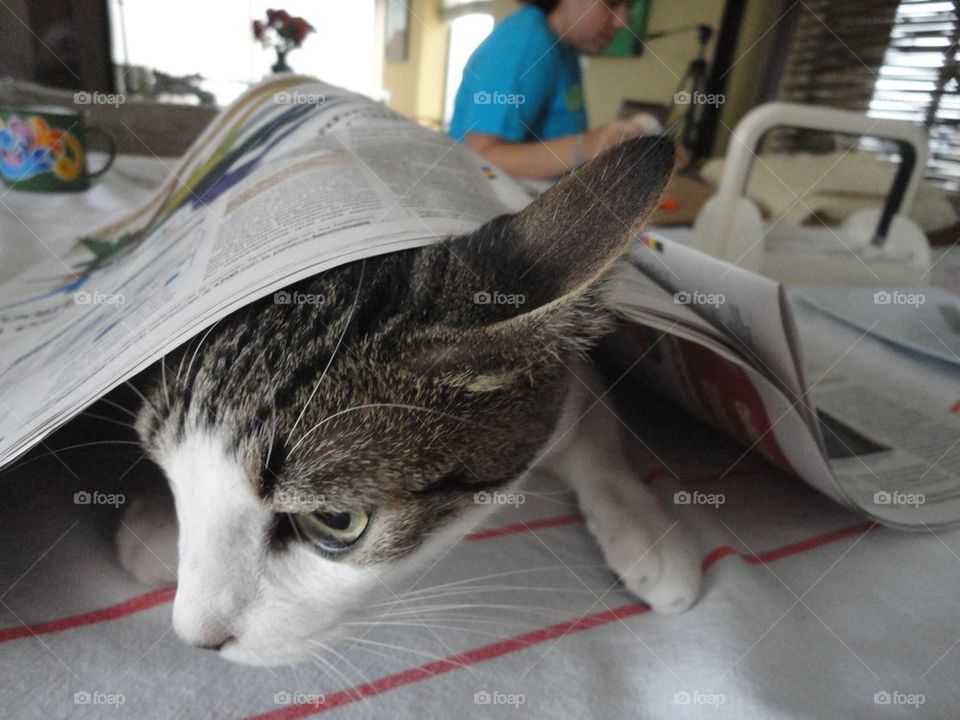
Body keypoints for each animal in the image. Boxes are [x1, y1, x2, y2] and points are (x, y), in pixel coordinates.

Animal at [116, 134, 700, 664]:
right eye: (173, 476)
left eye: (337, 521)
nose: (197, 639)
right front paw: (154, 528)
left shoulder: (570, 382)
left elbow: (595, 426)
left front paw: (646, 533)